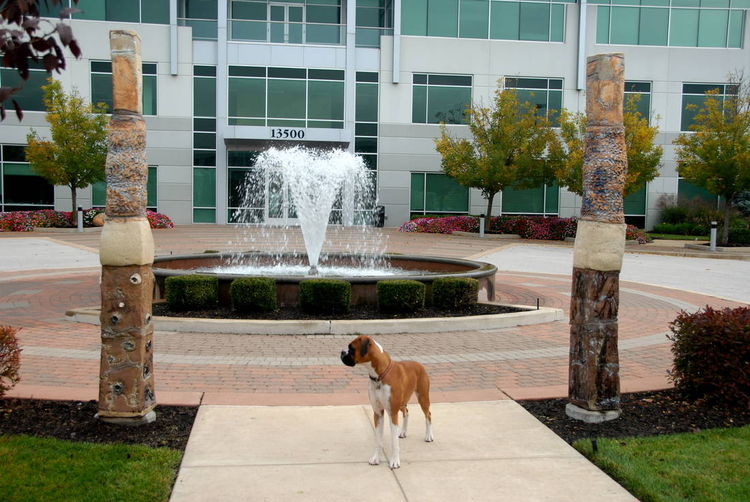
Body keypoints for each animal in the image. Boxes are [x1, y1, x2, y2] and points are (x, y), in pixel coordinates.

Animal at [342, 336, 434, 468]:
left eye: (351, 348)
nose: (342, 352)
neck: (379, 376)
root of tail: (419, 364)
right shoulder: (378, 413)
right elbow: (378, 439)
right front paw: (376, 458)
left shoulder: (392, 413)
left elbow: (394, 441)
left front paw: (395, 461)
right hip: (402, 402)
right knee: (406, 412)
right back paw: (403, 432)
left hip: (422, 398)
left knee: (428, 415)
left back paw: (429, 436)